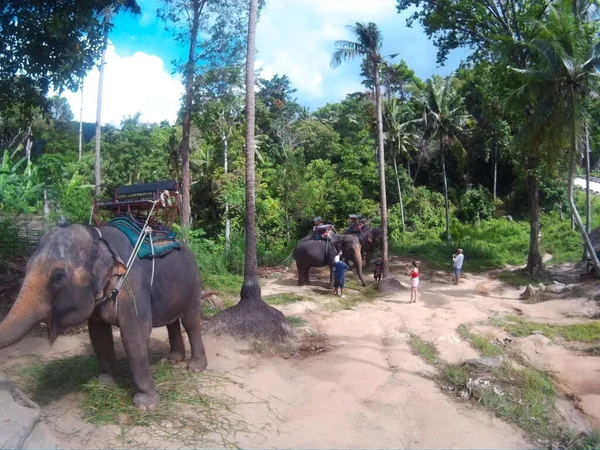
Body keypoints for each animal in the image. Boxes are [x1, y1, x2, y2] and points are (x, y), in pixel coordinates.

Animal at [0, 223, 209, 410]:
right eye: (26, 266)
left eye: (57, 276)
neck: (97, 237)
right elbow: (98, 334)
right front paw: (105, 382)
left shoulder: (133, 287)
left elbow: (134, 335)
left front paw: (146, 405)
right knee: (172, 322)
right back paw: (173, 359)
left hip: (194, 282)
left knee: (190, 321)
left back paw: (195, 367)